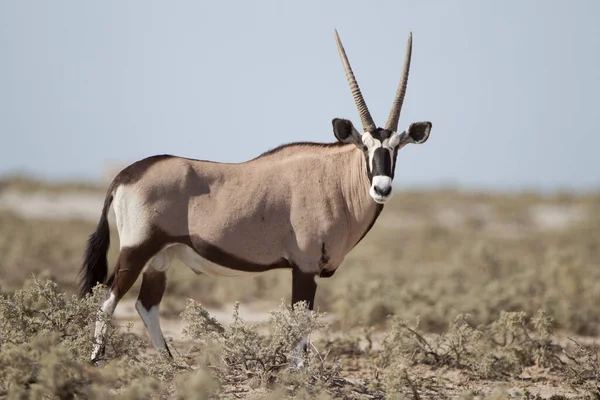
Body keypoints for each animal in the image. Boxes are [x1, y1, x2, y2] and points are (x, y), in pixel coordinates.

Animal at [81, 29, 432, 362]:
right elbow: (299, 326)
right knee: (108, 300)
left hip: (160, 259)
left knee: (146, 305)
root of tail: (125, 175)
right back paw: (97, 359)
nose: (382, 188)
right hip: (136, 251)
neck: (334, 179)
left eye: (395, 148)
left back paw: (172, 364)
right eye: (365, 148)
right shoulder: (305, 266)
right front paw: (298, 373)